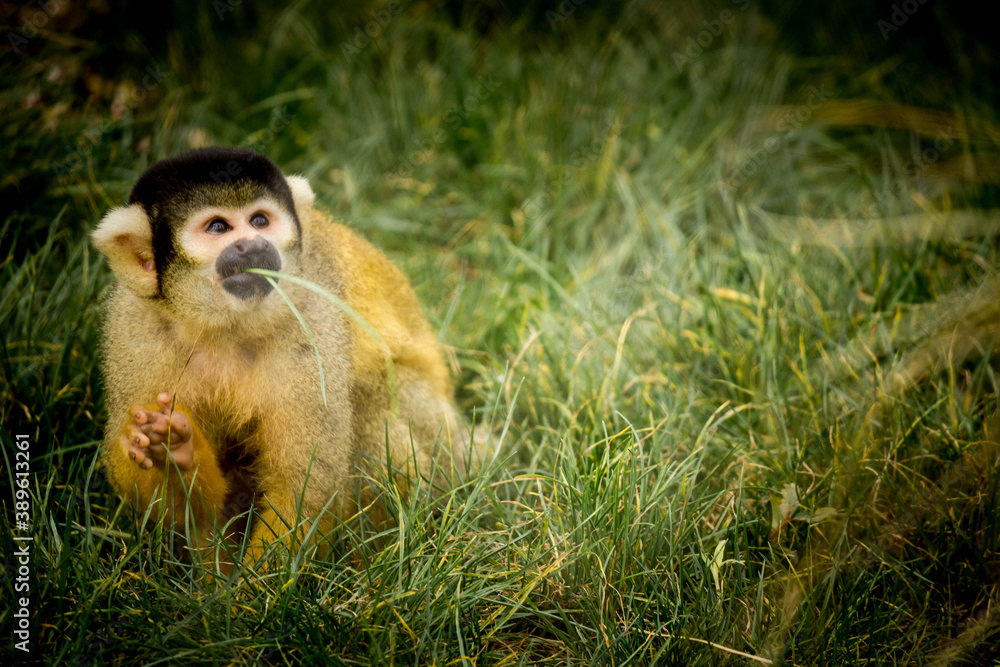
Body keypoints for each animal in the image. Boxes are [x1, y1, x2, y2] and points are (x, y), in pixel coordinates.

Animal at [92, 147, 473, 570]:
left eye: (260, 220)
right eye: (218, 227)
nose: (253, 244)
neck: (226, 324)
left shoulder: (312, 316)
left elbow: (307, 486)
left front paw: (256, 588)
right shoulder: (135, 330)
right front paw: (173, 455)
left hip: (438, 439)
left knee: (370, 403)